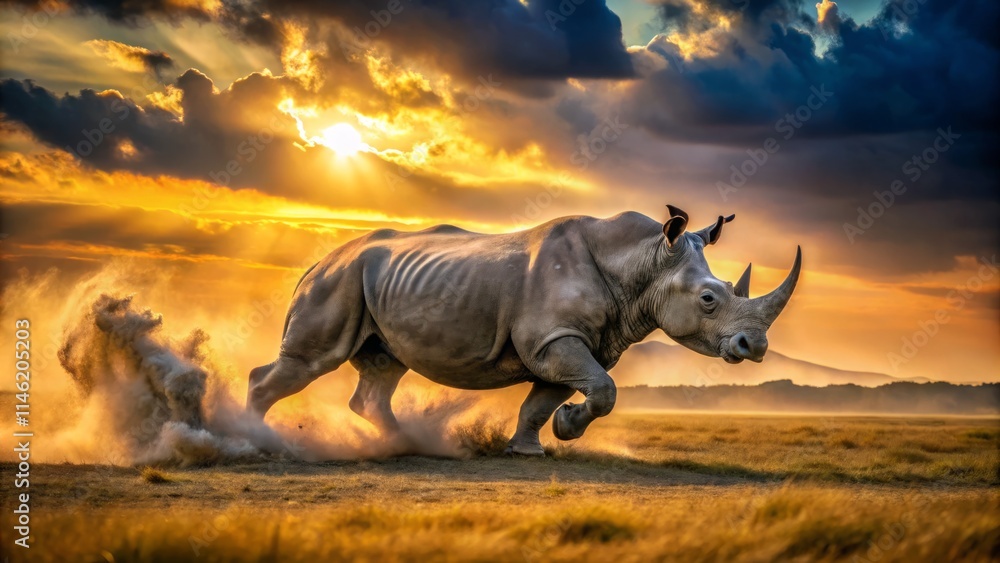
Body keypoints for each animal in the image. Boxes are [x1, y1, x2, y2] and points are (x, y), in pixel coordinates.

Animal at [247, 206, 801, 455]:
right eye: (709, 300)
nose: (755, 346)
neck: (641, 263)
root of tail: (319, 259)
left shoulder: (572, 342)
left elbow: (553, 398)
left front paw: (540, 442)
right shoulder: (554, 338)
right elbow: (604, 389)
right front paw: (563, 429)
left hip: (370, 283)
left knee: (383, 369)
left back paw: (410, 445)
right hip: (338, 281)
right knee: (310, 363)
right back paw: (250, 440)